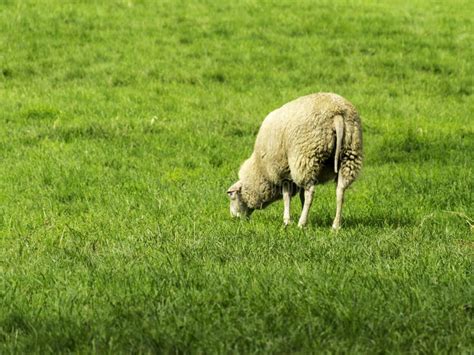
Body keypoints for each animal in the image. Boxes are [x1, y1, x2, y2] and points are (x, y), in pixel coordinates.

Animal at [226, 93, 362, 229]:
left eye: (232, 196)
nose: (233, 218)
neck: (260, 169)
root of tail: (336, 112)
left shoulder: (283, 173)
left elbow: (287, 196)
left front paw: (287, 221)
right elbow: (300, 196)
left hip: (306, 158)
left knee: (310, 193)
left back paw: (301, 223)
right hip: (350, 155)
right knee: (340, 191)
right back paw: (336, 225)